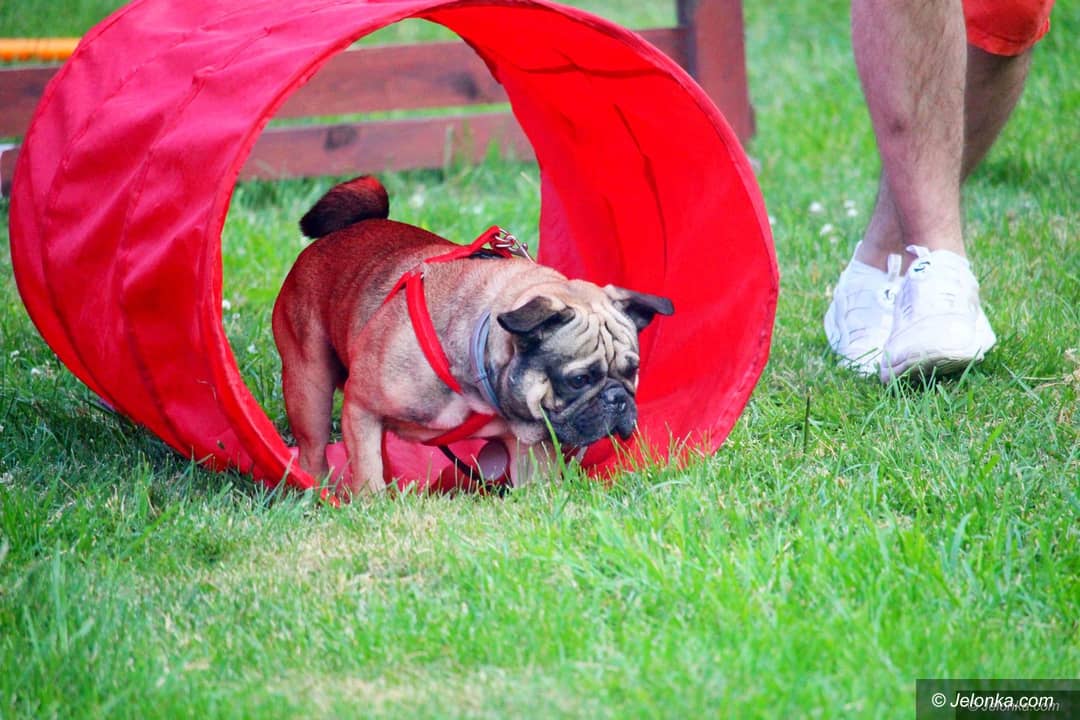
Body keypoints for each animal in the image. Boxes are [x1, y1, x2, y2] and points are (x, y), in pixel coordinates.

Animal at [272, 176, 673, 495]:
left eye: (632, 371)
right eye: (578, 380)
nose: (618, 398)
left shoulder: (529, 443)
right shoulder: (362, 407)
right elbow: (367, 468)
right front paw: (371, 503)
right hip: (309, 387)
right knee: (314, 449)